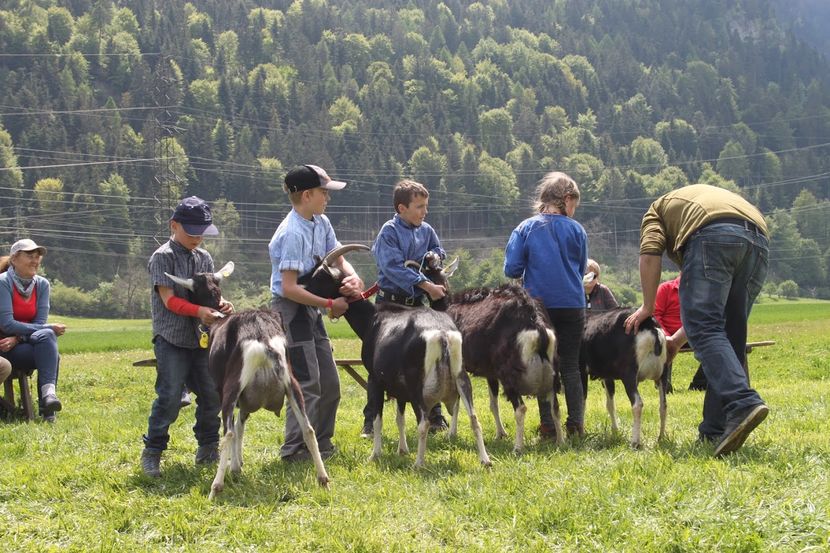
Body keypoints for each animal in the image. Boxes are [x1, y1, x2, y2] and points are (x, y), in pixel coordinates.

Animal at [164, 260, 330, 498]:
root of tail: (263, 337)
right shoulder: (246, 399)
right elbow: (242, 423)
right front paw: (238, 465)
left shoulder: (224, 390)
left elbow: (234, 427)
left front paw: (234, 467)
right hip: (292, 384)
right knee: (308, 428)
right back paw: (324, 480)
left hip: (232, 387)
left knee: (228, 432)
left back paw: (216, 487)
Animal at [300, 246, 490, 466]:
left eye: (319, 277)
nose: (300, 287)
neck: (372, 319)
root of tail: (442, 334)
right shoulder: (398, 385)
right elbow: (400, 418)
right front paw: (402, 450)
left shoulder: (375, 379)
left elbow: (378, 419)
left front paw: (374, 455)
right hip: (460, 377)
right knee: (474, 418)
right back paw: (485, 461)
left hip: (418, 385)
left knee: (424, 423)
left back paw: (419, 464)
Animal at [448, 284, 564, 452]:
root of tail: (537, 326)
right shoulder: (491, 373)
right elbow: (493, 404)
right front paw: (500, 434)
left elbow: (457, 402)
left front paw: (451, 433)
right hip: (552, 376)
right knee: (555, 407)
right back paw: (561, 441)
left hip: (510, 377)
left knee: (521, 409)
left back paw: (518, 448)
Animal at [580, 306, 672, 448]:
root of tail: (651, 327)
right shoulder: (607, 376)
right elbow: (610, 404)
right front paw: (615, 432)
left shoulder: (581, 370)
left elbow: (582, 402)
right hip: (662, 373)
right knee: (663, 406)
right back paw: (661, 438)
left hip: (629, 374)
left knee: (637, 404)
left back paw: (635, 442)